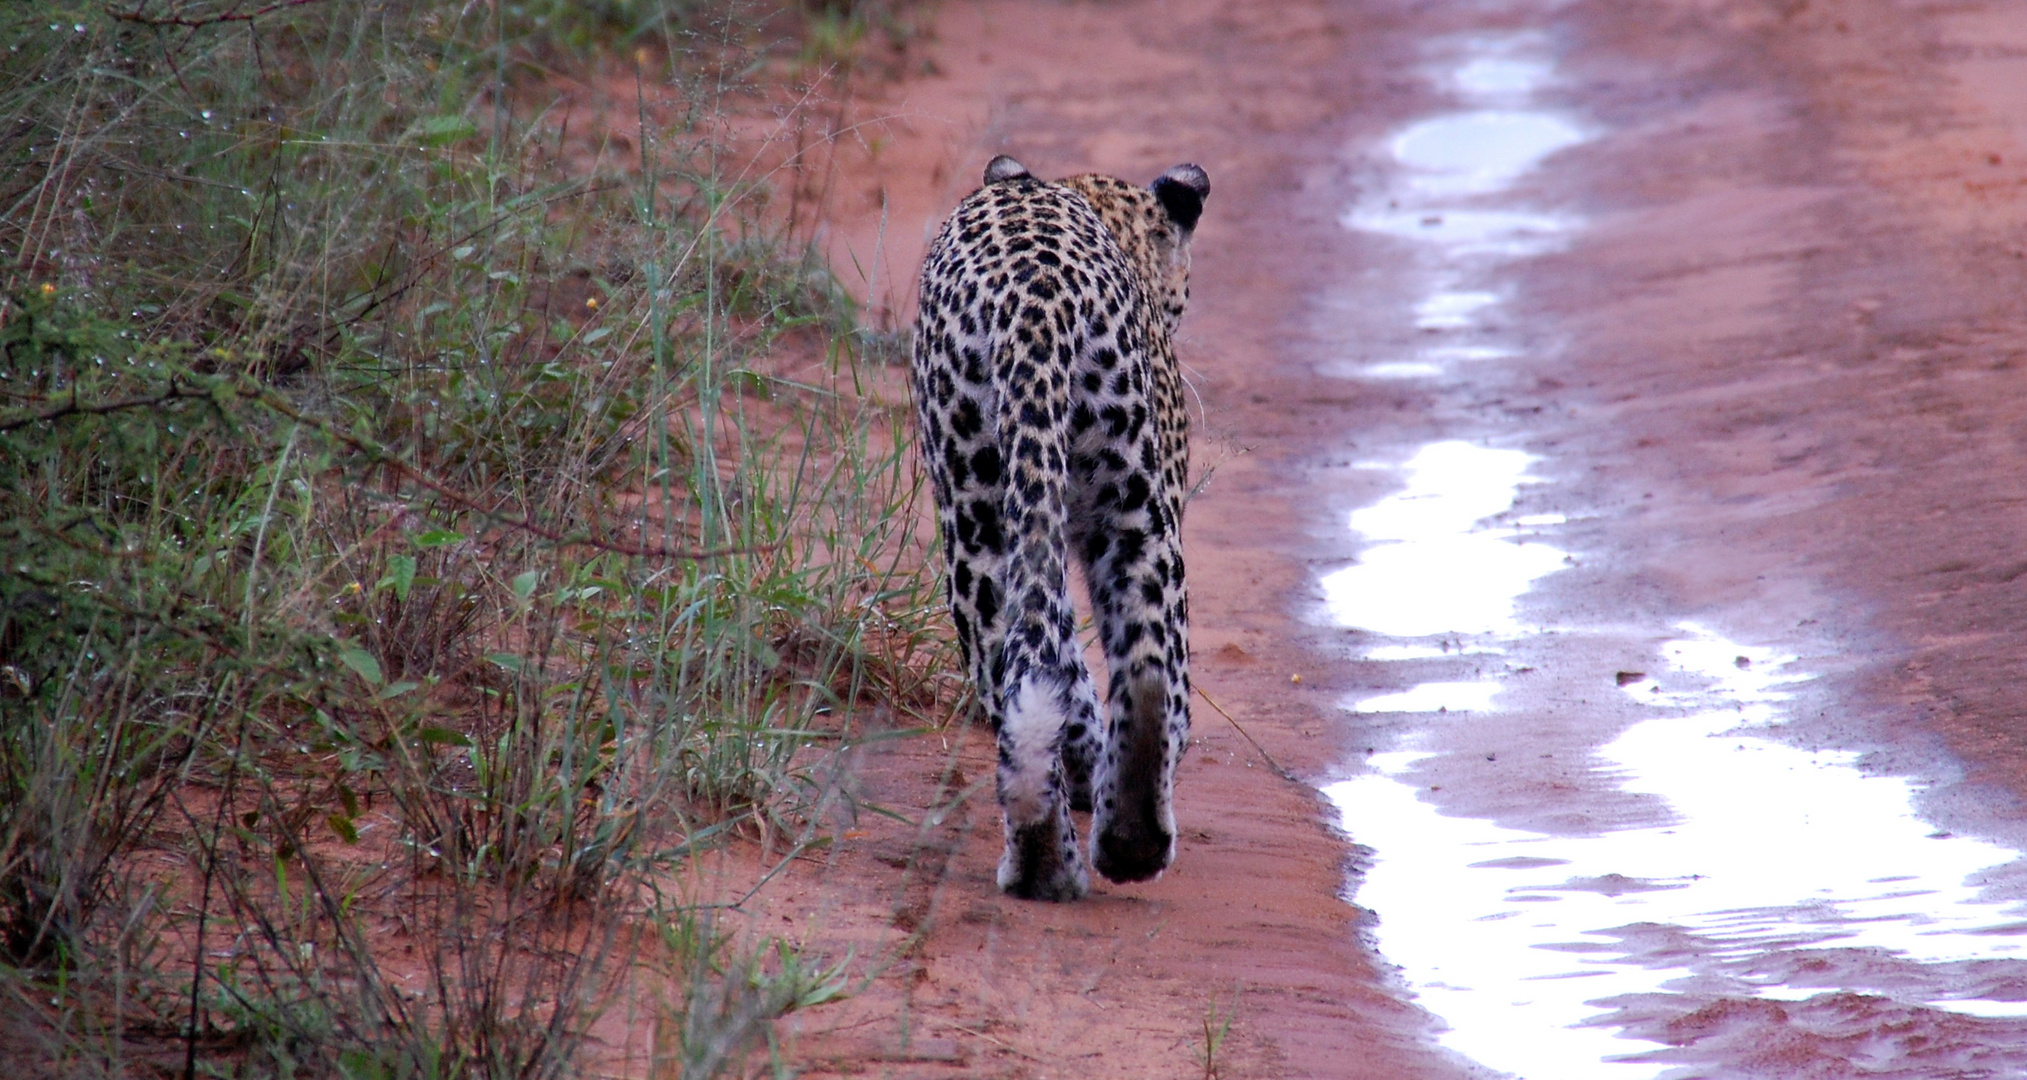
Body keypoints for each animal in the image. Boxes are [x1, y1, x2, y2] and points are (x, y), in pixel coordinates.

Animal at [908, 149, 1199, 891]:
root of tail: (1035, 295)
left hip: (987, 512)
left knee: (1028, 663)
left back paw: (1065, 853)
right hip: (1125, 503)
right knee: (1154, 668)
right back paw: (1108, 843)